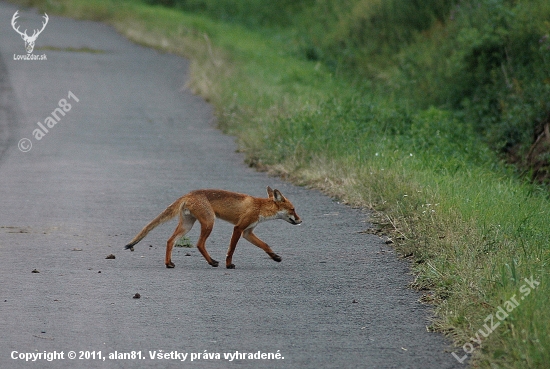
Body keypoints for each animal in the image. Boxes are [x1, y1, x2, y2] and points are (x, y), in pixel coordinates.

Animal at [125, 187, 302, 268]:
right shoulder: (238, 228)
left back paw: (169, 263)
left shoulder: (247, 232)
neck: (259, 207)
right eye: (293, 209)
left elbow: (265, 245)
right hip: (209, 222)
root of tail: (189, 193)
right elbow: (231, 249)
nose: (300, 221)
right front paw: (229, 264)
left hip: (187, 225)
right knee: (199, 244)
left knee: (170, 241)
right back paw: (212, 262)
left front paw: (275, 257)